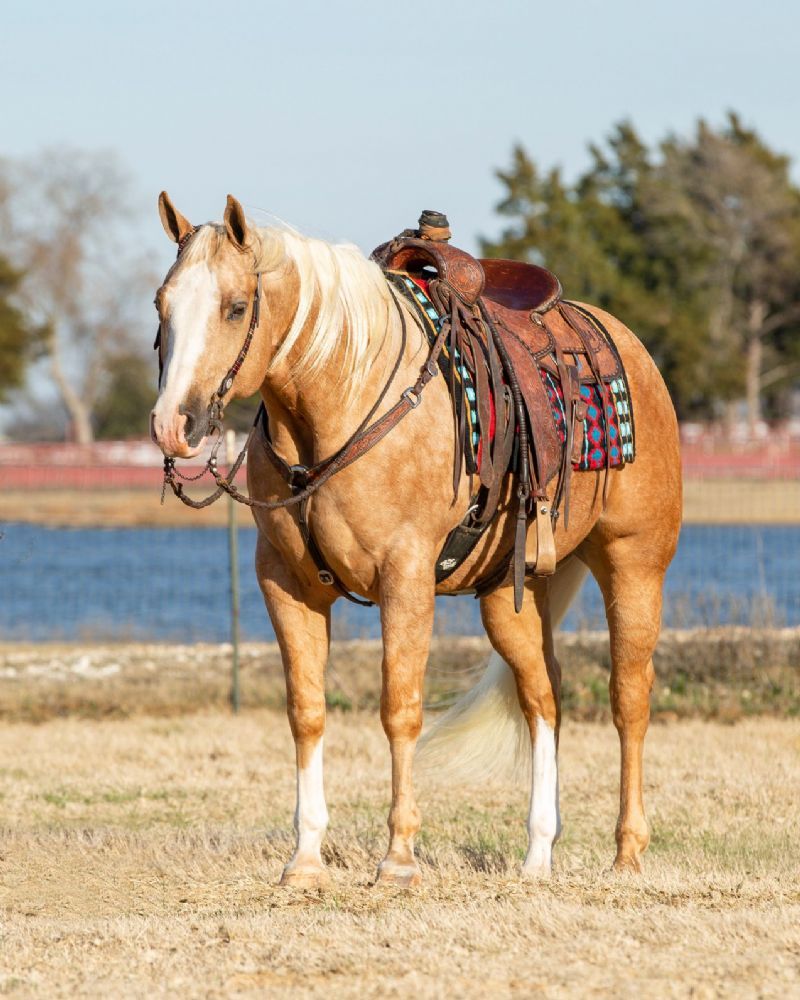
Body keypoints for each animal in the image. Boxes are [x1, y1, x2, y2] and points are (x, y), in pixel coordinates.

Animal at [150, 192, 682, 887]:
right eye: (161, 304)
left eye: (236, 307)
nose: (173, 425)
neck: (342, 403)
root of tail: (629, 346)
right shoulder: (286, 584)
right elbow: (306, 710)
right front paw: (305, 857)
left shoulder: (405, 578)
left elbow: (399, 707)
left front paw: (399, 856)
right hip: (508, 595)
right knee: (544, 697)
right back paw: (537, 854)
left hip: (634, 562)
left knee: (629, 697)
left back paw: (628, 853)